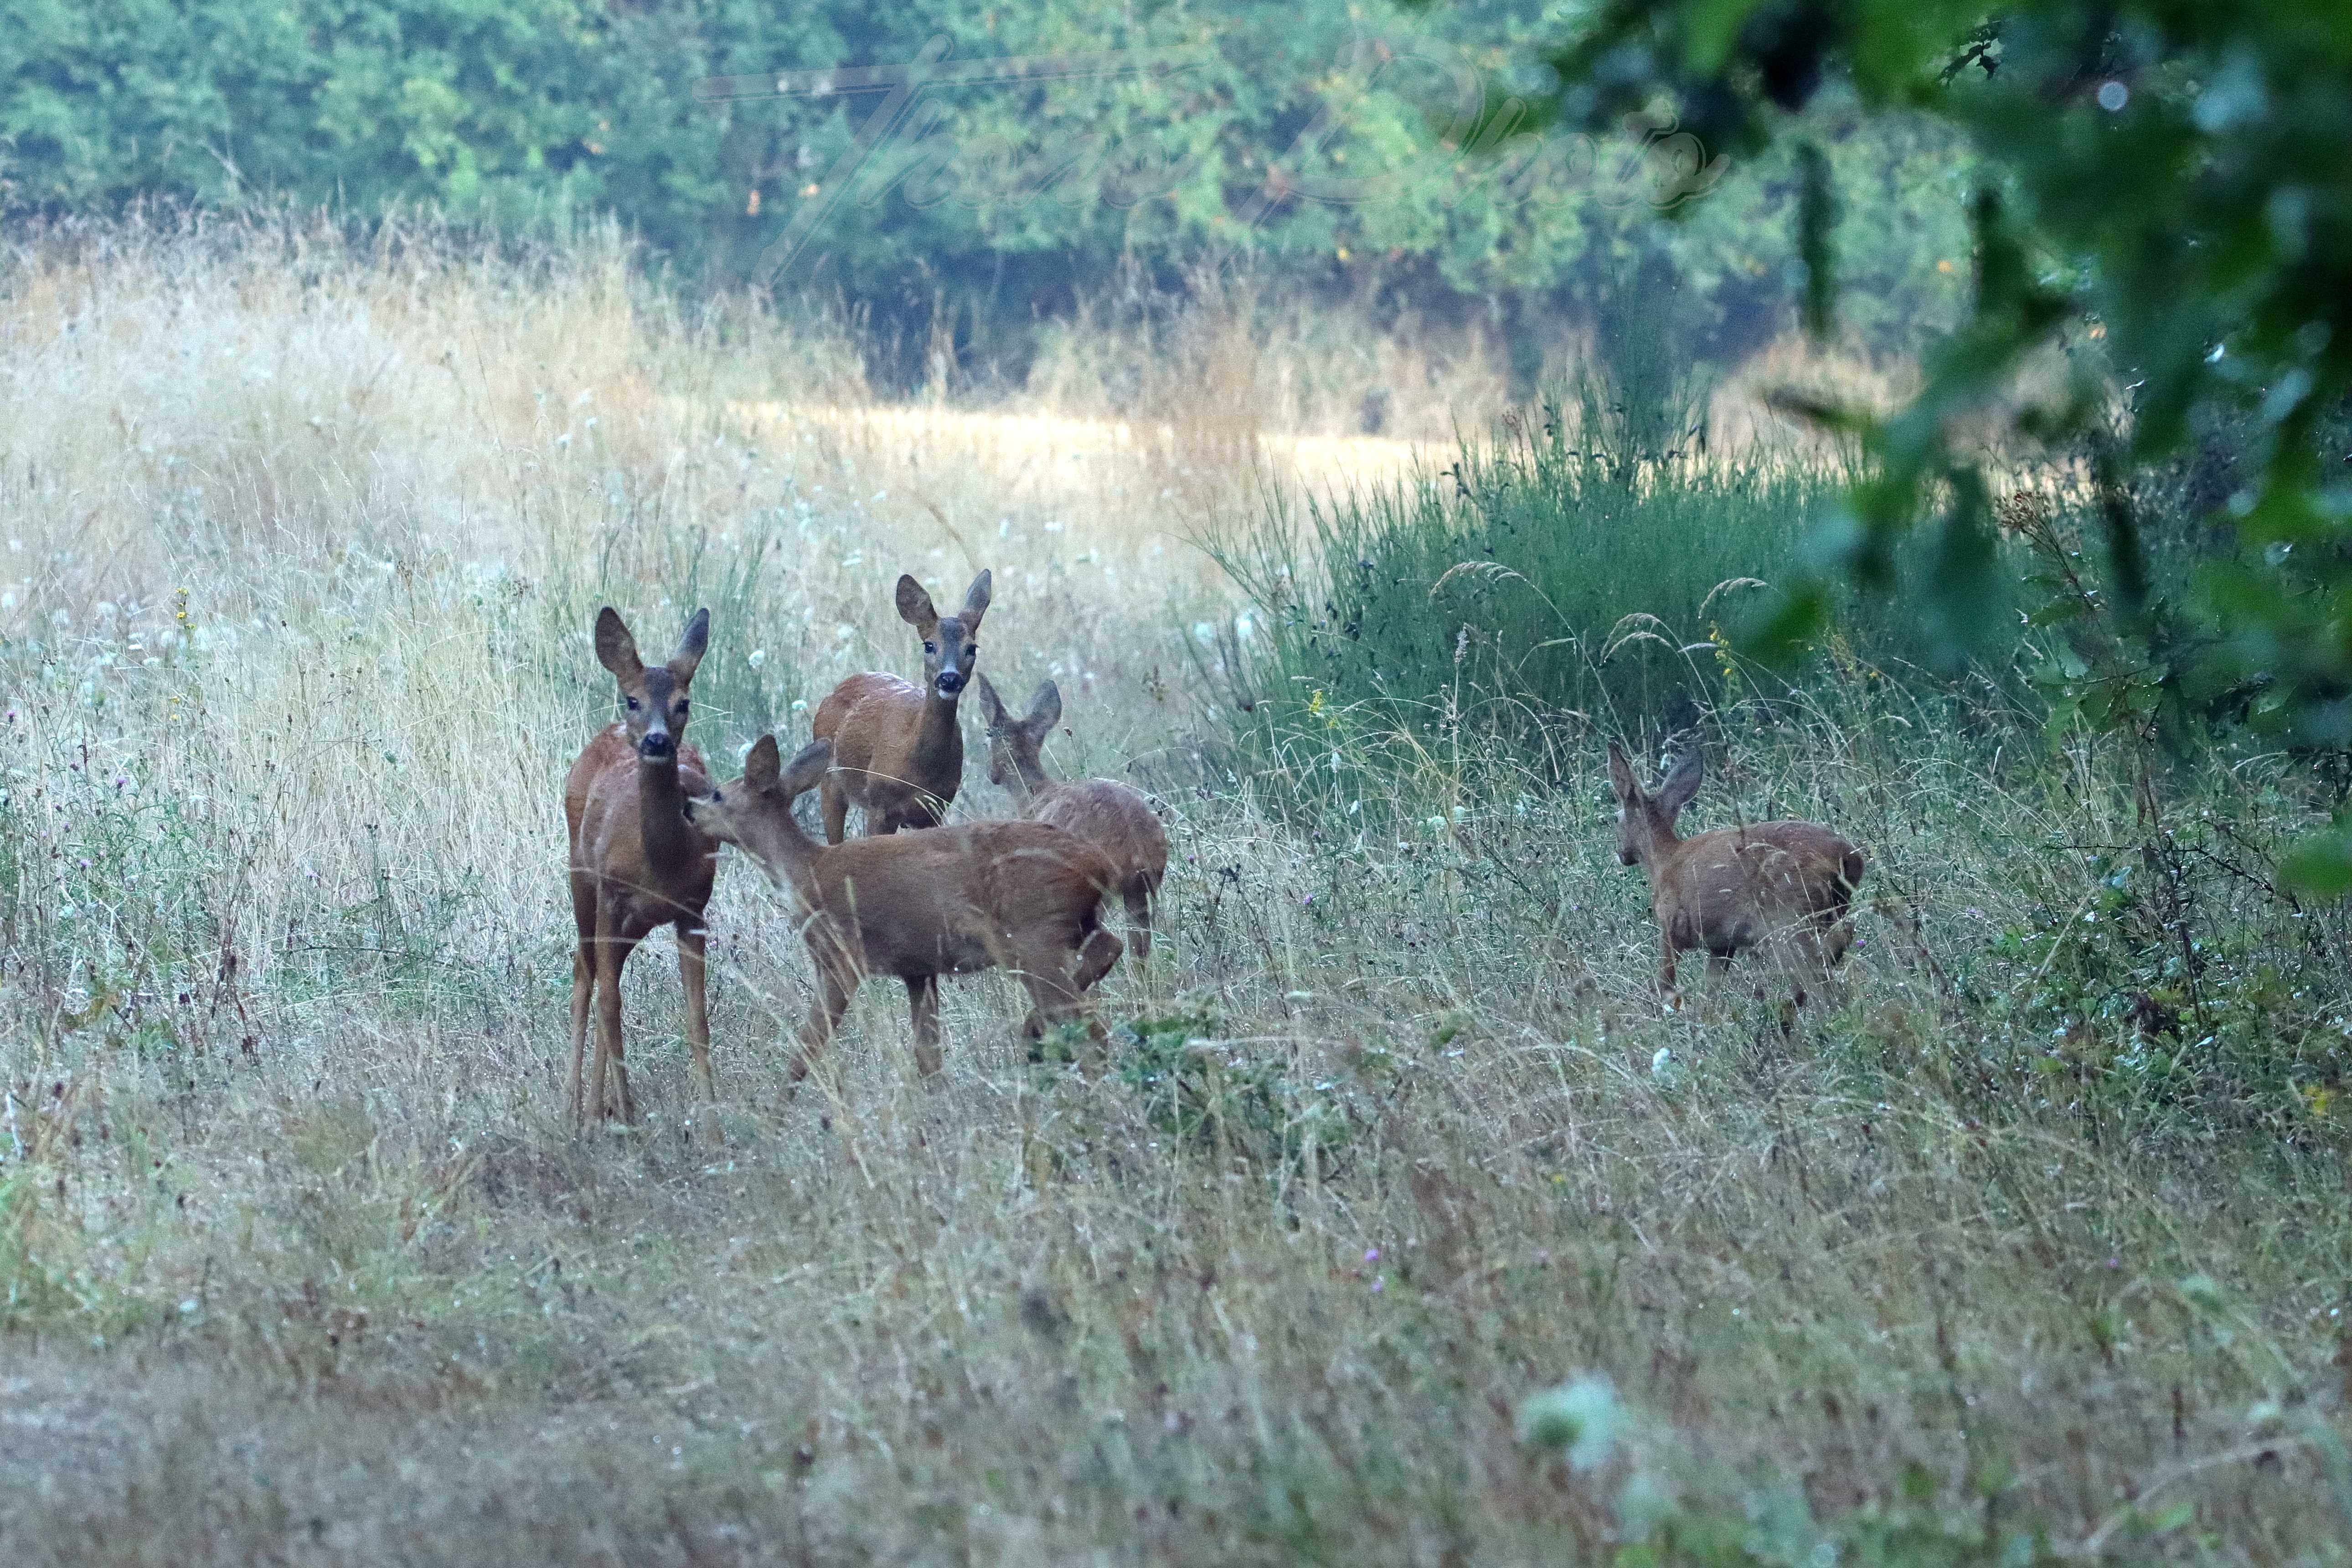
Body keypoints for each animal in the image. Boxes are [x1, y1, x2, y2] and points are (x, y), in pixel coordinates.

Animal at [567, 606, 715, 1128]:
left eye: (683, 703)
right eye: (633, 699)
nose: (655, 740)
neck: (662, 863)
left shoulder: (694, 908)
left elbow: (697, 1018)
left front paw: (714, 1123)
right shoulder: (612, 894)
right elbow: (611, 1002)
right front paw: (626, 1119)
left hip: (634, 919)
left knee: (597, 971)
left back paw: (596, 1108)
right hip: (581, 879)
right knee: (586, 975)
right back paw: (574, 1109)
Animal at [686, 733, 1124, 1081]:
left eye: (718, 794)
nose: (689, 809)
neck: (807, 872)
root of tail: (1099, 863)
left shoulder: (843, 957)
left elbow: (806, 1049)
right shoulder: (919, 967)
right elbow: (928, 1055)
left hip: (1032, 934)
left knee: (1091, 1025)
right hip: (1070, 924)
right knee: (1110, 951)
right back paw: (1038, 1030)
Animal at [809, 573, 992, 846]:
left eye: (972, 648)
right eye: (929, 645)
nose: (949, 679)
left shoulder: (935, 809)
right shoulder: (879, 804)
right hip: (830, 780)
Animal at [974, 677, 1166, 968]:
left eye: (987, 739)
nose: (991, 774)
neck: (1036, 796)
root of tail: (1134, 850)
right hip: (1140, 892)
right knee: (1138, 949)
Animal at [1609, 752, 1862, 1020]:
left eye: (1616, 818)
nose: (1621, 854)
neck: (1663, 860)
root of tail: (1848, 857)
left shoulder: (1670, 925)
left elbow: (1665, 984)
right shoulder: (1722, 945)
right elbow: (1710, 993)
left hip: (1788, 918)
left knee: (1820, 985)